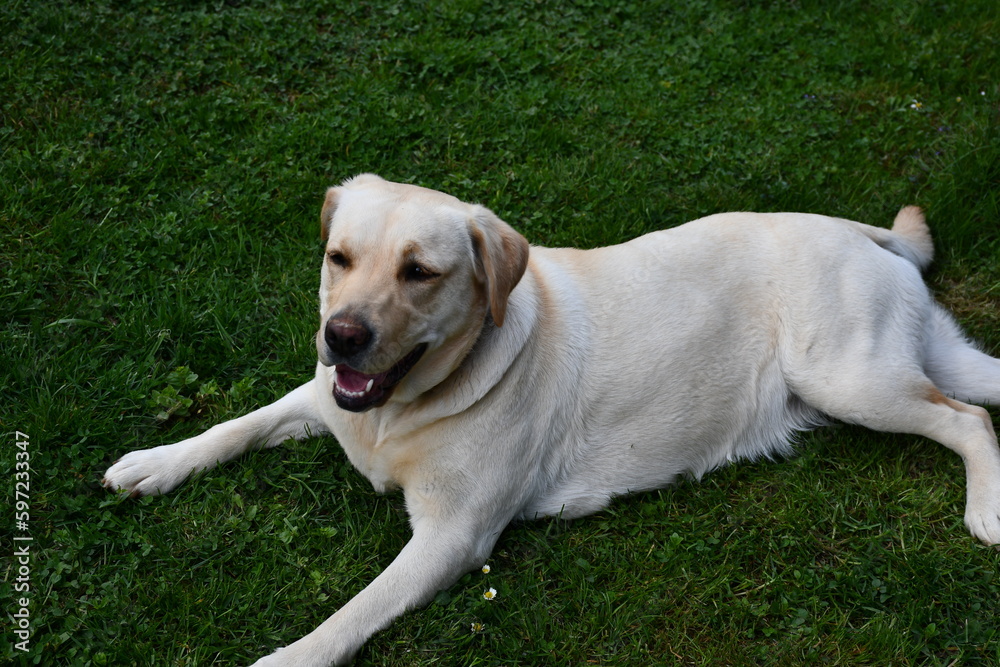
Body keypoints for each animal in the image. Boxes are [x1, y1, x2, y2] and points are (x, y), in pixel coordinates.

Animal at [101, 175, 1000, 664]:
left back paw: (986, 510)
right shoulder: (323, 397)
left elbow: (351, 612)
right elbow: (236, 425)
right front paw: (156, 461)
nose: (342, 334)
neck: (405, 407)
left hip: (848, 375)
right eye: (339, 257)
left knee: (969, 421)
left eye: (420, 272)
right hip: (907, 360)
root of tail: (858, 229)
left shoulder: (452, 536)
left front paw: (289, 656)